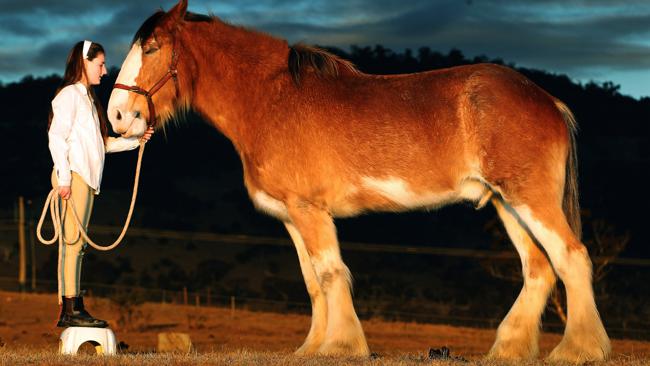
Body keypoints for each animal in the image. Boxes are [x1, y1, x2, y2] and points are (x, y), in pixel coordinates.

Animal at [106, 0, 608, 360]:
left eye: (151, 48)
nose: (117, 116)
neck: (271, 99)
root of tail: (547, 101)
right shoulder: (293, 216)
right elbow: (313, 281)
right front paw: (313, 346)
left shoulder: (310, 211)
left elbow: (331, 273)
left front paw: (341, 344)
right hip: (506, 203)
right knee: (539, 269)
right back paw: (509, 349)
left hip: (528, 199)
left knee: (571, 258)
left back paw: (577, 350)